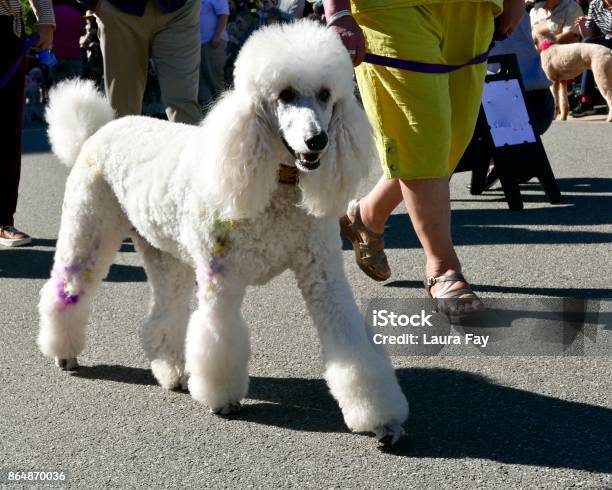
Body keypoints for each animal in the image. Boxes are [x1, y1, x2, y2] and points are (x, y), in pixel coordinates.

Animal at [40, 22, 408, 444]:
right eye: (285, 95)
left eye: (325, 95)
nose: (317, 141)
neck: (275, 183)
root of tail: (99, 130)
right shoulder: (223, 276)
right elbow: (218, 335)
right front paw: (222, 398)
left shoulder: (323, 272)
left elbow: (350, 340)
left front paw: (381, 419)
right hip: (89, 227)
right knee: (67, 289)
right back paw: (63, 351)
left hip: (164, 252)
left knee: (164, 311)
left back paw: (173, 370)